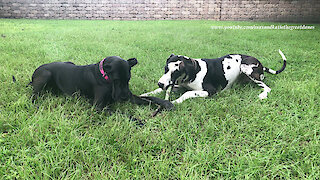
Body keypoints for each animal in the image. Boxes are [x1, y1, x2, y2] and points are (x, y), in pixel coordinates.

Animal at [28, 56, 174, 112]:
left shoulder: (131, 96)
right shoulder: (98, 106)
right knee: (33, 94)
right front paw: (138, 121)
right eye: (116, 80)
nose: (124, 97)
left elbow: (147, 99)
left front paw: (164, 104)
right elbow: (121, 112)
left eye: (128, 79)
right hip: (45, 75)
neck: (105, 78)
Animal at [141, 49, 286, 102]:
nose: (160, 83)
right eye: (165, 69)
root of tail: (260, 64)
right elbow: (157, 91)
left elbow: (187, 93)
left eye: (175, 72)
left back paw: (263, 94)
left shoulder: (210, 91)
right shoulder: (178, 85)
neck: (195, 71)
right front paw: (146, 94)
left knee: (267, 87)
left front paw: (176, 101)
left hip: (247, 68)